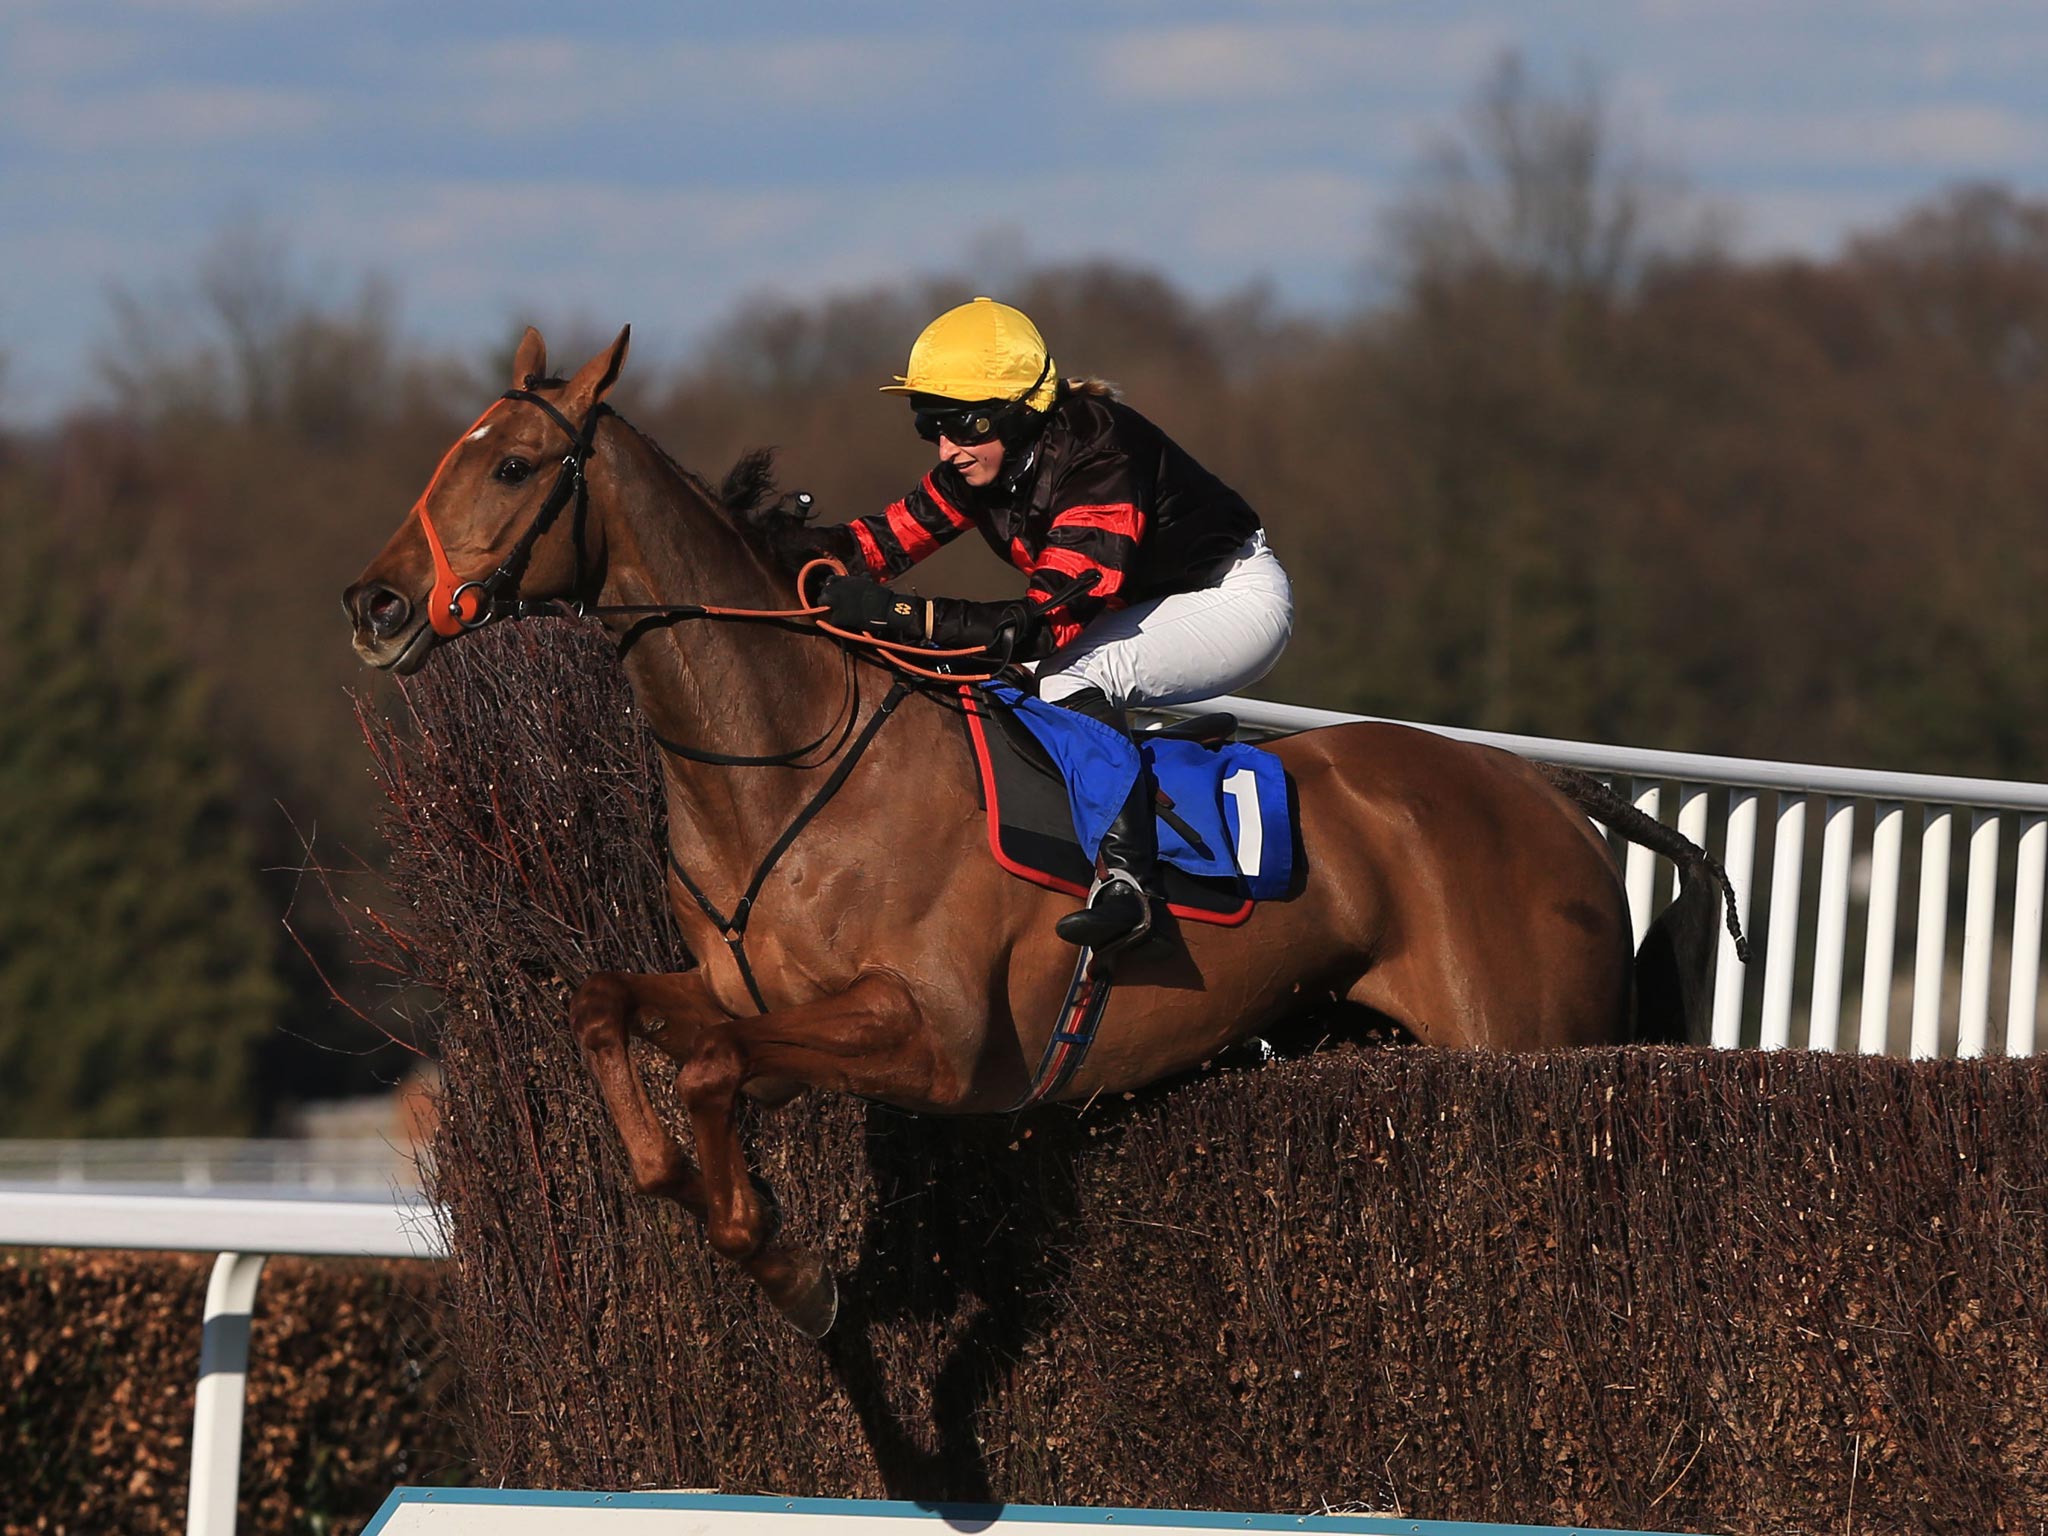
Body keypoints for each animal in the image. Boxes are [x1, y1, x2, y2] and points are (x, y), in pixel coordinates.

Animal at [348, 325, 1744, 1335]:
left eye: (511, 467)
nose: (374, 604)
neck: (791, 767)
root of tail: (1550, 794)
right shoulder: (744, 992)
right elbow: (610, 1012)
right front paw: (685, 1185)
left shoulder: (934, 1040)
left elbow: (709, 1069)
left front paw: (780, 1259)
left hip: (1529, 1040)